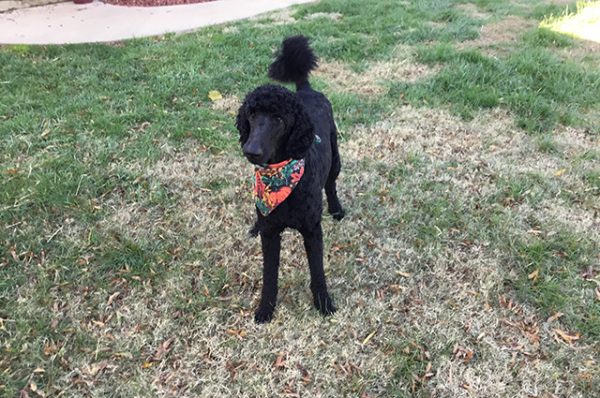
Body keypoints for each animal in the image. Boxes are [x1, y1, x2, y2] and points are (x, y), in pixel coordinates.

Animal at [237, 35, 344, 324]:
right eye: (252, 114)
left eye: (279, 119)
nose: (251, 150)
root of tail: (306, 89)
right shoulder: (271, 233)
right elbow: (269, 276)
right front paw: (265, 309)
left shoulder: (312, 231)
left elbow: (317, 273)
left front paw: (324, 304)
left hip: (336, 159)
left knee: (331, 185)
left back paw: (337, 209)